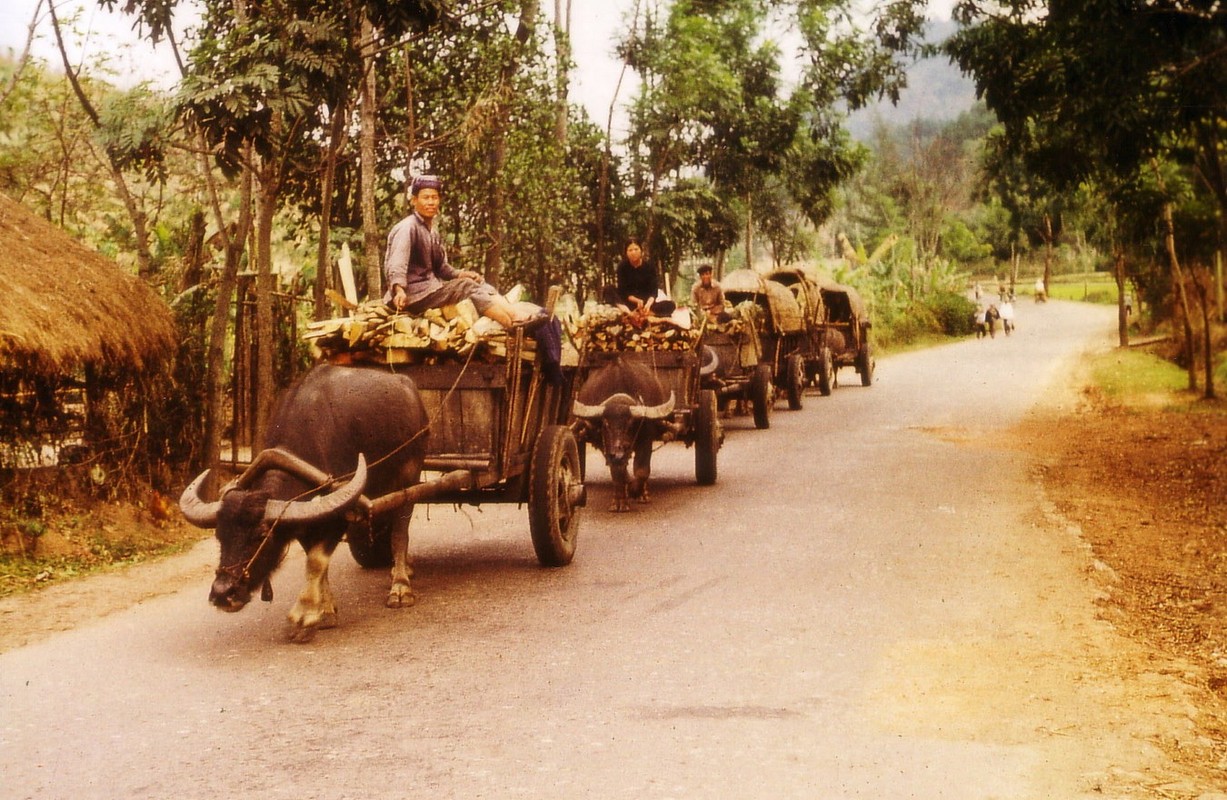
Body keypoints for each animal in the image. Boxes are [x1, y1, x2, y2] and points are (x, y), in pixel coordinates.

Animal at [179, 365, 429, 642]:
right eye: (219, 536)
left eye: (261, 536)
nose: (223, 593)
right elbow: (316, 561)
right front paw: (326, 610)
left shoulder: (340, 513)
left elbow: (316, 560)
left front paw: (304, 614)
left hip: (410, 477)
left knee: (400, 533)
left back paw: (401, 587)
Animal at [569, 355, 677, 512]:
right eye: (606, 423)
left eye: (631, 423)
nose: (619, 454)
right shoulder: (606, 446)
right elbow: (617, 472)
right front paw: (619, 501)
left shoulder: (646, 439)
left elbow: (642, 470)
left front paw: (635, 491)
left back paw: (643, 494)